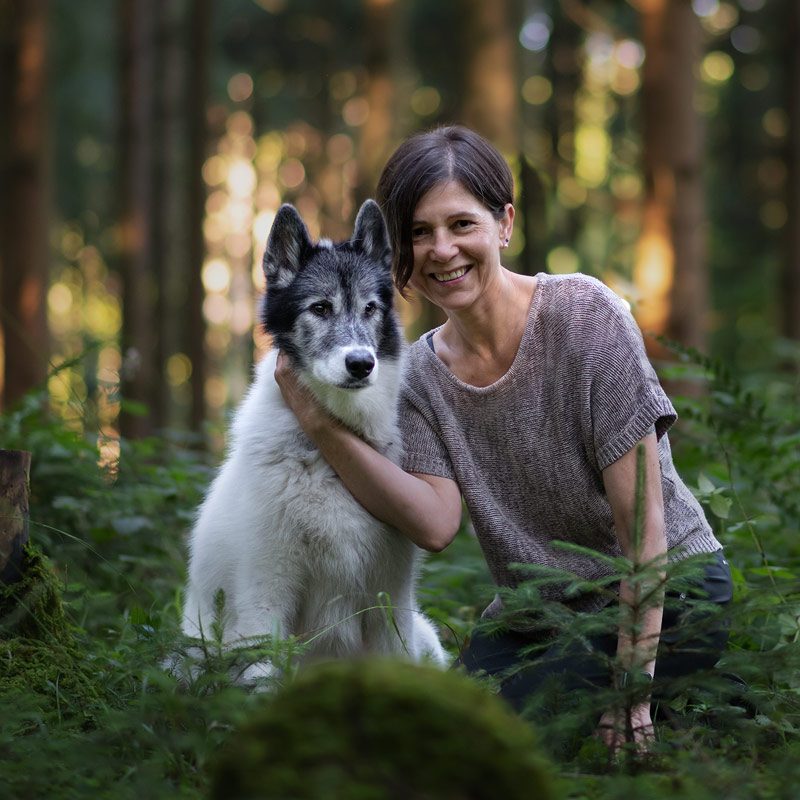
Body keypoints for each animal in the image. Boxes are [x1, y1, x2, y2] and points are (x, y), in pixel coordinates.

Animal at [180, 200, 450, 680]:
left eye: (370, 308)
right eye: (320, 308)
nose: (361, 364)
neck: (328, 457)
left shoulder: (390, 599)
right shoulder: (264, 594)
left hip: (424, 636)